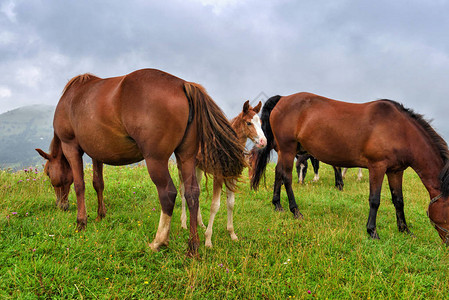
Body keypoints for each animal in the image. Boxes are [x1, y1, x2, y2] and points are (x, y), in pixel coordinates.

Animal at [35, 68, 245, 255]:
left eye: (48, 172)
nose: (61, 205)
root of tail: (183, 84)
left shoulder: (71, 147)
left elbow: (80, 185)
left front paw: (81, 222)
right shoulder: (96, 153)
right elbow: (98, 183)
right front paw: (100, 215)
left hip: (156, 160)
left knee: (168, 194)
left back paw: (159, 241)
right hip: (186, 157)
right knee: (192, 193)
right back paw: (192, 247)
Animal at [178, 99, 266, 247]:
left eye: (260, 122)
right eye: (248, 123)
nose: (263, 141)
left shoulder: (232, 176)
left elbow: (231, 203)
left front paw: (232, 234)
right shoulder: (218, 176)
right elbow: (215, 205)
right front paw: (208, 240)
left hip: (198, 168)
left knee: (197, 190)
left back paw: (200, 223)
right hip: (183, 165)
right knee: (183, 190)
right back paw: (184, 223)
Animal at [252, 92, 449, 245]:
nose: (447, 244)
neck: (399, 129)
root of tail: (283, 99)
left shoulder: (395, 171)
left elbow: (398, 200)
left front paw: (405, 230)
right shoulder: (377, 167)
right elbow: (375, 200)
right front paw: (372, 232)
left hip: (284, 151)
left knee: (278, 173)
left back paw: (278, 205)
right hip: (288, 149)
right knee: (286, 177)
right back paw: (295, 211)